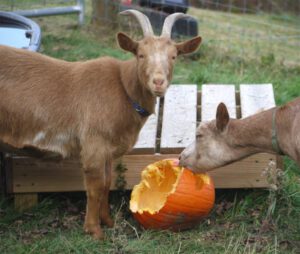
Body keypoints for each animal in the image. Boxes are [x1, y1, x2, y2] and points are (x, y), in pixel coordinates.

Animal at [0, 9, 202, 239]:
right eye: (140, 54)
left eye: (174, 56)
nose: (158, 82)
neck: (123, 87)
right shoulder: (94, 145)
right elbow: (95, 188)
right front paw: (94, 231)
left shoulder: (108, 150)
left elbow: (107, 184)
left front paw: (109, 222)